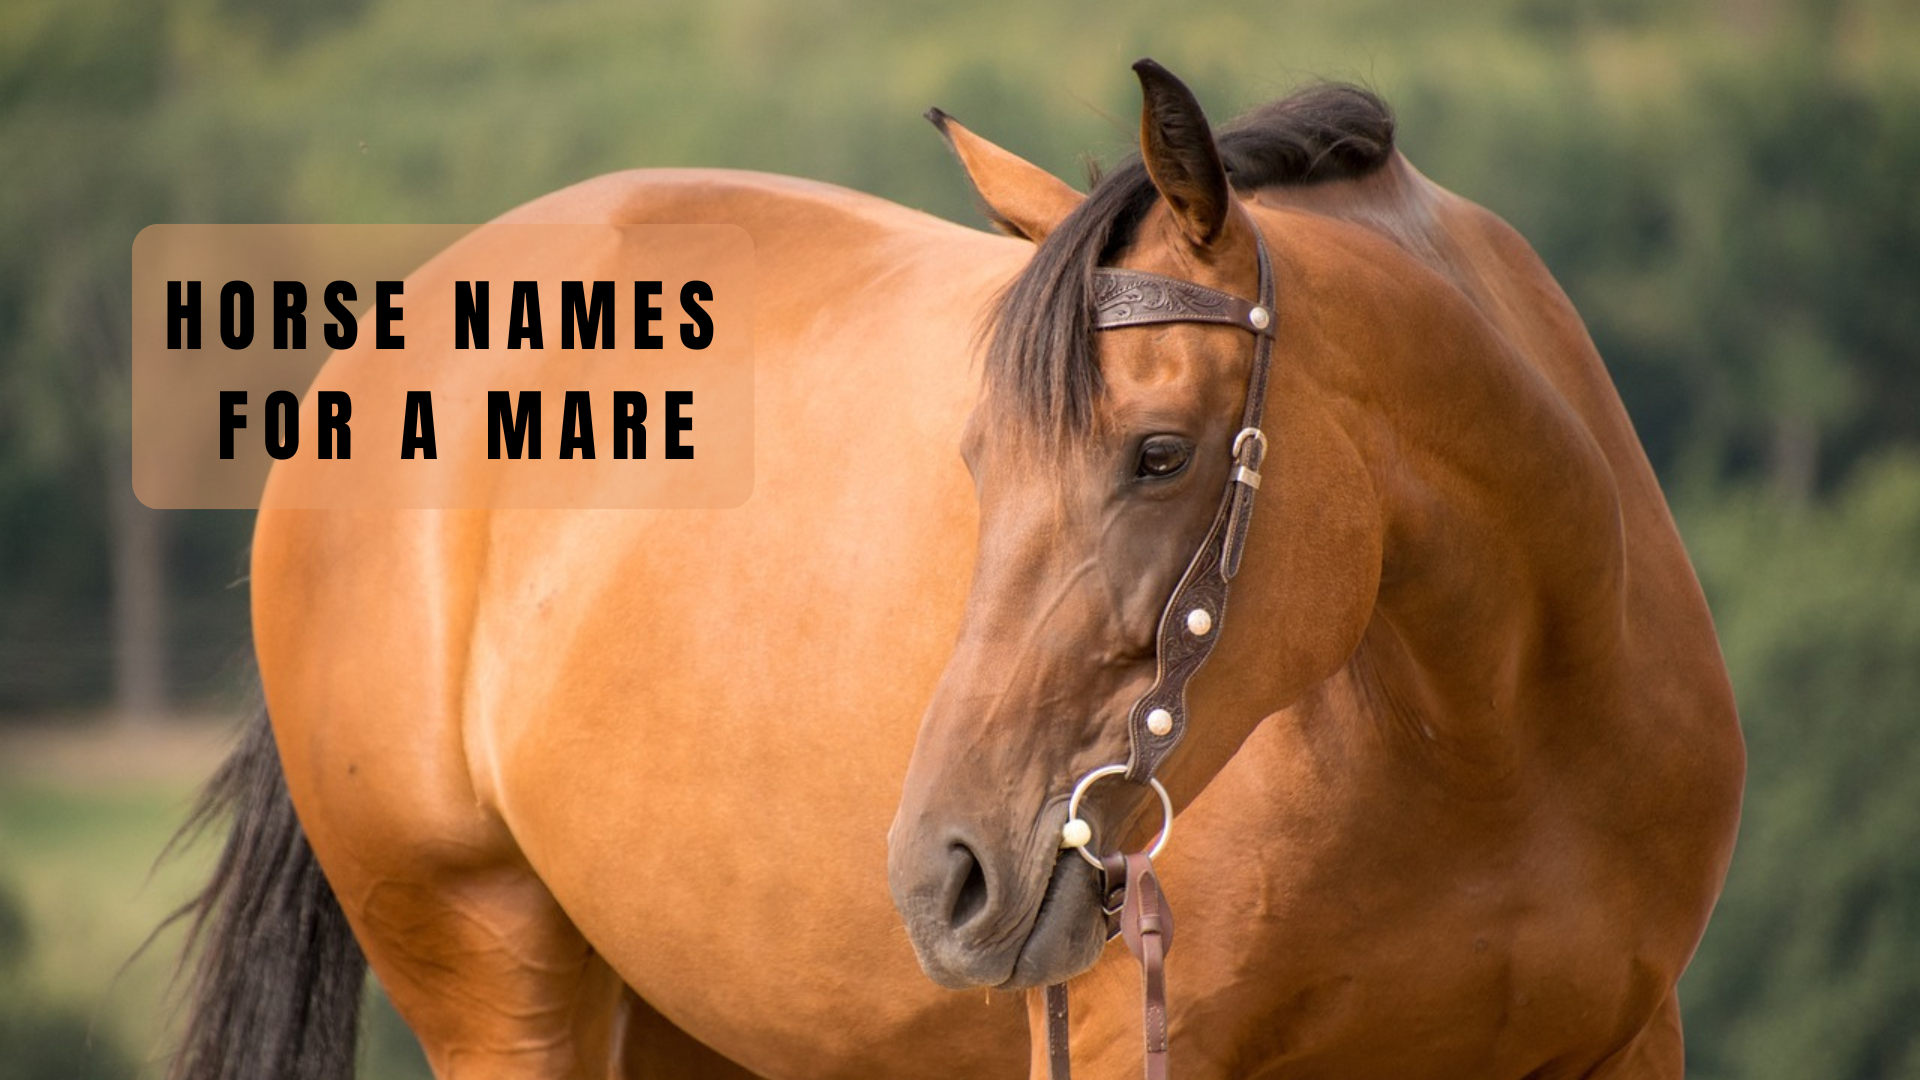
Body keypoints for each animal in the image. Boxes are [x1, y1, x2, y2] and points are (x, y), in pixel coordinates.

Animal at [169, 60, 1744, 1080]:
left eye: (1161, 454)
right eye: (978, 458)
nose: (948, 874)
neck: (1493, 739)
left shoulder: (1626, 1044)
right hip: (497, 983)